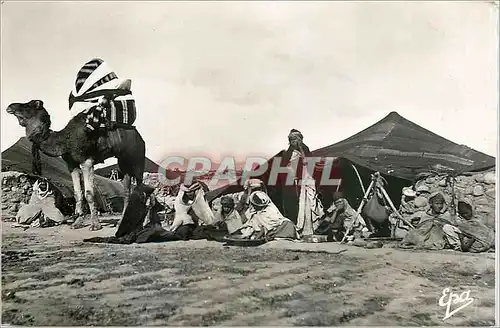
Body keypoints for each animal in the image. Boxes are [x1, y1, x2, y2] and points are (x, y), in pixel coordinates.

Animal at [6, 100, 146, 231]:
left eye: (27, 105)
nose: (10, 106)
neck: (64, 140)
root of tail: (139, 135)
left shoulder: (87, 161)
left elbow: (89, 193)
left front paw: (95, 225)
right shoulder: (71, 164)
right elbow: (78, 193)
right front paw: (77, 223)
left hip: (138, 157)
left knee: (140, 184)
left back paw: (142, 223)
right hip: (123, 161)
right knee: (127, 188)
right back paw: (122, 222)